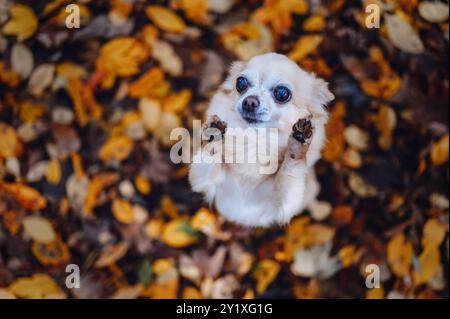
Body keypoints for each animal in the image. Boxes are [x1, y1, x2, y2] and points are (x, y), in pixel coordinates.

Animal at [188, 53, 332, 228]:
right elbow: (207, 160)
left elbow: (290, 172)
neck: (255, 141)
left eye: (282, 94)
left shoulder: (283, 205)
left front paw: (298, 145)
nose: (249, 101)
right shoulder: (202, 182)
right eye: (241, 83)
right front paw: (214, 134)